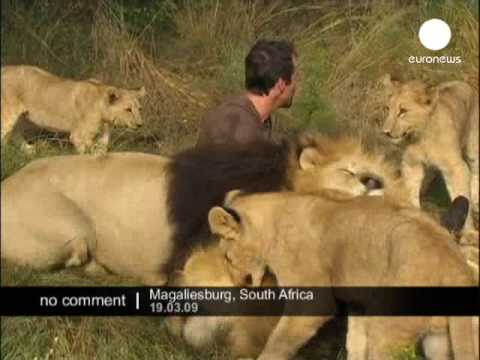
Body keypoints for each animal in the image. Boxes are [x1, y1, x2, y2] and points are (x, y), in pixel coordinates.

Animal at [0, 65, 146, 153]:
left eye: (139, 109)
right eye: (128, 109)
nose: (140, 124)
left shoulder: (103, 136)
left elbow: (102, 150)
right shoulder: (78, 136)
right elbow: (86, 152)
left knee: (15, 133)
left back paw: (30, 150)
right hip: (8, 114)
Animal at [209, 193, 476, 360]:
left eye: (228, 258)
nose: (237, 285)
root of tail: (456, 267)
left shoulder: (314, 299)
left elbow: (279, 342)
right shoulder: (359, 302)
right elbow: (355, 343)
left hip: (389, 326)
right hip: (440, 339)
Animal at [380, 74, 478, 246]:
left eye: (403, 111)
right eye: (387, 108)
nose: (385, 132)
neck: (421, 137)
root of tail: (464, 83)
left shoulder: (456, 168)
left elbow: (462, 195)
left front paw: (470, 233)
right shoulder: (412, 164)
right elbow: (412, 190)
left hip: (473, 143)